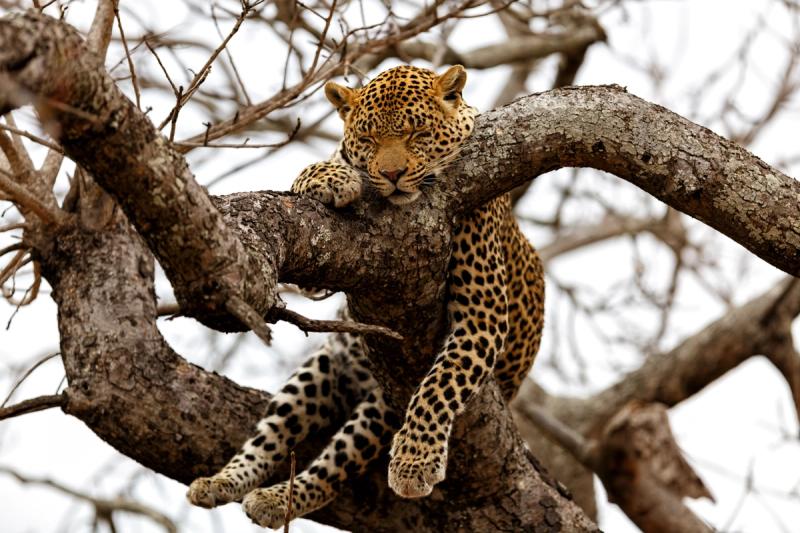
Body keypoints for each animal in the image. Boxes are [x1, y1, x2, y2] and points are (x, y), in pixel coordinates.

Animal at [187, 64, 545, 528]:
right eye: (369, 139)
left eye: (417, 134)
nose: (391, 175)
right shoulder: (318, 276)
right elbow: (317, 176)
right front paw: (330, 175)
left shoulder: (481, 317)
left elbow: (438, 388)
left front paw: (414, 460)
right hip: (326, 365)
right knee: (271, 435)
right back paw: (225, 482)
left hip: (380, 403)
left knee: (333, 467)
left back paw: (276, 498)